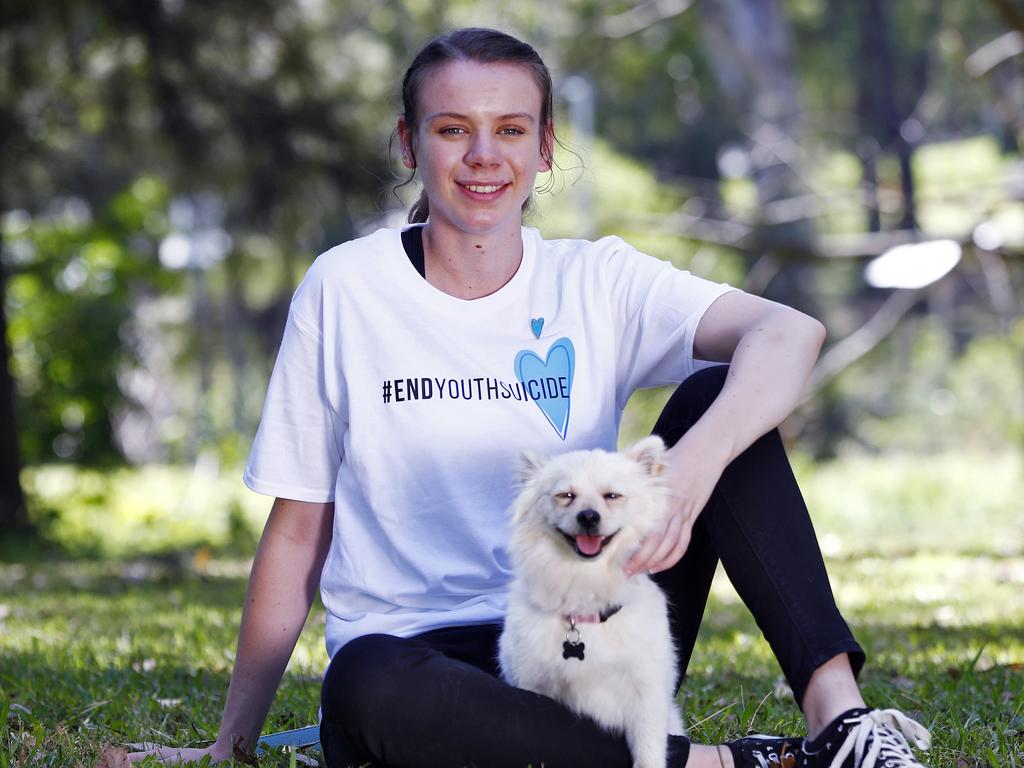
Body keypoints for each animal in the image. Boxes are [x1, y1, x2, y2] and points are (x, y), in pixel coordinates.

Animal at [499, 438, 684, 768]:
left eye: (612, 496)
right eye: (565, 496)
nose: (588, 516)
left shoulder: (646, 696)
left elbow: (649, 752)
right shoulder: (533, 687)